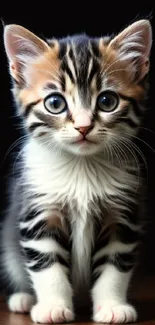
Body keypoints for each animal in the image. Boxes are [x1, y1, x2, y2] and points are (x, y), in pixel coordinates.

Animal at [0, 19, 151, 322]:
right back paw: (22, 298)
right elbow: (47, 266)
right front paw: (53, 307)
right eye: (55, 103)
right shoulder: (38, 211)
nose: (83, 127)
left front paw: (113, 306)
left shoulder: (122, 215)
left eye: (107, 101)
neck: (81, 167)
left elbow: (115, 266)